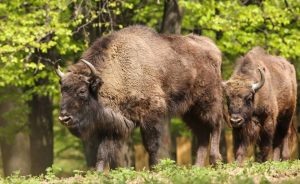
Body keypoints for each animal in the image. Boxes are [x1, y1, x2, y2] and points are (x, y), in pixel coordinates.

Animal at [55, 25, 224, 170]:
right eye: (62, 90)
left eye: (82, 91)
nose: (64, 118)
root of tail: (213, 48)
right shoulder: (113, 122)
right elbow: (103, 151)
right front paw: (98, 173)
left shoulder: (150, 115)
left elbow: (151, 145)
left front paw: (155, 169)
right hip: (189, 111)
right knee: (202, 135)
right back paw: (198, 167)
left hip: (207, 101)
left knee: (215, 124)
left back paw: (215, 160)